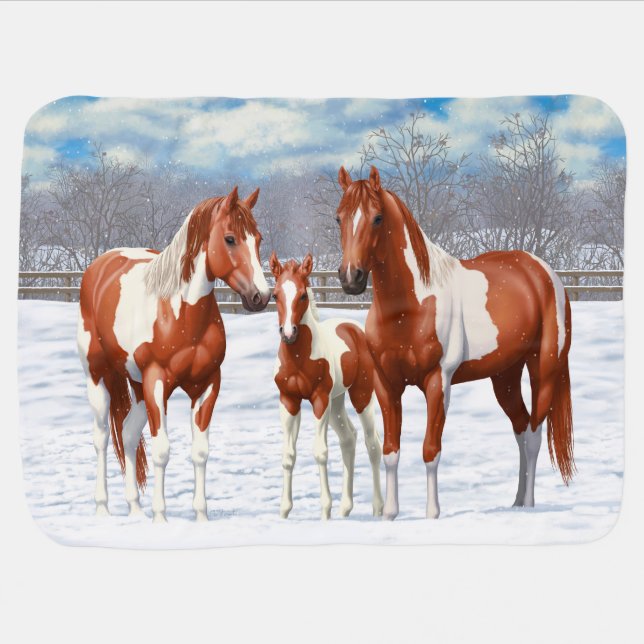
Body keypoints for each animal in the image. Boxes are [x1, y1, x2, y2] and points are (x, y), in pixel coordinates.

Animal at [77, 187, 270, 522]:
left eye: (257, 239)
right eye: (230, 238)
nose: (261, 296)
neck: (180, 314)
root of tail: (99, 266)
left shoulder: (207, 384)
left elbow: (200, 451)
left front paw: (201, 517)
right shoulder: (157, 383)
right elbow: (162, 450)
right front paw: (161, 517)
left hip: (137, 386)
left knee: (128, 433)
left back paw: (135, 509)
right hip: (98, 376)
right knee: (101, 437)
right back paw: (103, 508)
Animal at [269, 253, 384, 520]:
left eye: (303, 295)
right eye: (275, 295)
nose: (288, 333)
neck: (299, 359)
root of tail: (354, 328)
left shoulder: (319, 399)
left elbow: (320, 452)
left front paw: (325, 511)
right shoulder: (288, 401)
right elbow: (288, 455)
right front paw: (284, 511)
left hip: (360, 396)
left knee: (372, 443)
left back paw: (378, 509)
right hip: (336, 403)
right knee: (348, 438)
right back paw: (345, 508)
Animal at [334, 165, 574, 520]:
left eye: (377, 218)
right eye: (339, 218)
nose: (351, 278)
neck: (412, 306)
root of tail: (543, 272)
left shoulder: (438, 383)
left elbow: (430, 450)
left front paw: (432, 513)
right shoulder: (386, 384)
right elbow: (391, 450)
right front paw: (390, 514)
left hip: (543, 370)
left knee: (532, 435)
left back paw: (529, 504)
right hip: (505, 376)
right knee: (520, 428)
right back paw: (516, 502)